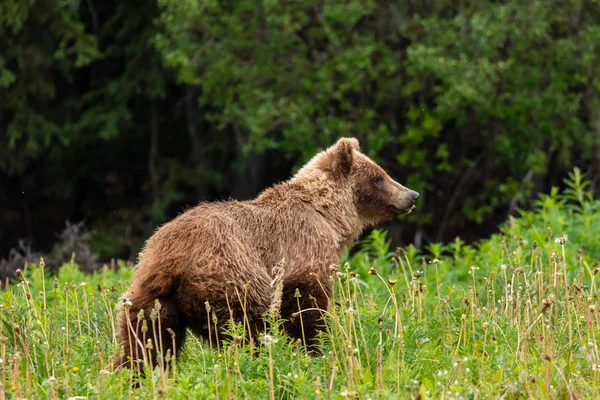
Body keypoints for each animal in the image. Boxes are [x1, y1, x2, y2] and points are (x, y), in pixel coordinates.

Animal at [115, 137, 420, 368]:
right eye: (379, 177)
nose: (412, 195)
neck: (329, 216)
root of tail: (174, 260)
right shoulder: (303, 247)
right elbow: (308, 306)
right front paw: (317, 348)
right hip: (231, 276)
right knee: (247, 328)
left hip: (149, 296)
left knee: (144, 343)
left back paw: (135, 376)